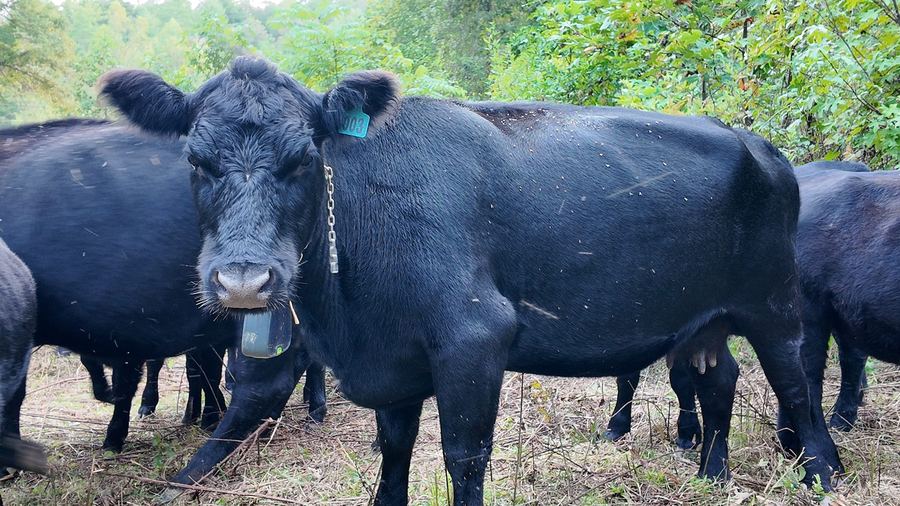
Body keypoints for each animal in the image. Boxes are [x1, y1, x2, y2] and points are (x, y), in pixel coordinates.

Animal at [99, 56, 843, 502]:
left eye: (303, 157)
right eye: (195, 160)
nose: (244, 282)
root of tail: (761, 145)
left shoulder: (474, 338)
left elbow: (463, 455)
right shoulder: (395, 361)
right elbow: (393, 451)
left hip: (773, 303)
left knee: (797, 386)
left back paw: (823, 473)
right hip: (705, 318)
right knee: (721, 380)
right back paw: (713, 474)